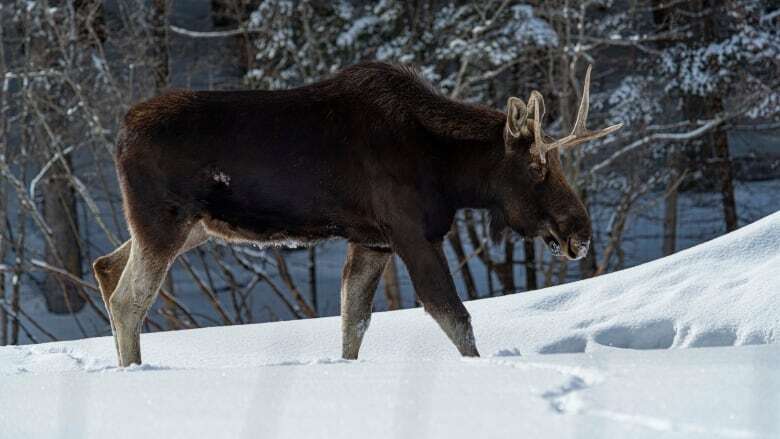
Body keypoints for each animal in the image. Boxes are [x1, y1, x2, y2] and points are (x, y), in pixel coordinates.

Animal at [93, 60, 620, 366]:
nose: (581, 231)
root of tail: (119, 135)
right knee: (129, 299)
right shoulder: (410, 232)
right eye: (536, 166)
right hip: (164, 219)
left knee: (105, 265)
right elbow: (453, 316)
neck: (448, 172)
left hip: (189, 227)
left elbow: (354, 320)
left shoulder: (372, 239)